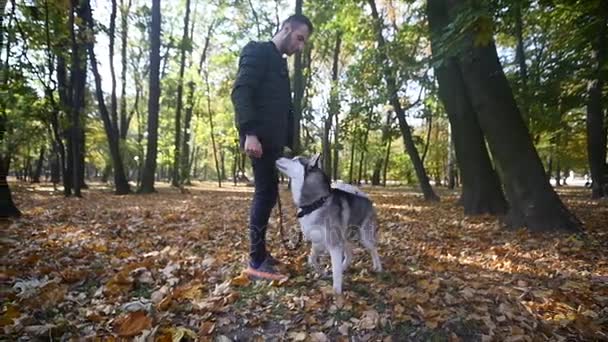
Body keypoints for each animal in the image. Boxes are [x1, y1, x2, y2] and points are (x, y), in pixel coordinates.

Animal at [274, 154, 380, 294]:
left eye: (295, 159)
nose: (278, 157)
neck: (316, 204)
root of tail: (367, 198)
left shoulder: (334, 245)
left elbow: (335, 271)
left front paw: (336, 292)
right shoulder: (318, 242)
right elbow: (311, 259)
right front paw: (322, 272)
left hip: (364, 237)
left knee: (373, 249)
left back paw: (378, 267)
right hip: (344, 239)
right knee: (350, 255)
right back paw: (344, 267)